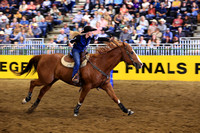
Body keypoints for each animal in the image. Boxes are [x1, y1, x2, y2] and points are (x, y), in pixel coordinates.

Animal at [13, 39, 142, 116]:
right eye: (131, 52)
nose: (140, 64)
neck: (100, 63)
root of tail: (43, 56)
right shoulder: (87, 86)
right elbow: (82, 98)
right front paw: (76, 111)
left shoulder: (106, 85)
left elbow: (115, 98)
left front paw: (127, 110)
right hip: (45, 79)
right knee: (32, 82)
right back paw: (26, 99)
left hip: (51, 81)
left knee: (42, 91)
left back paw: (32, 108)